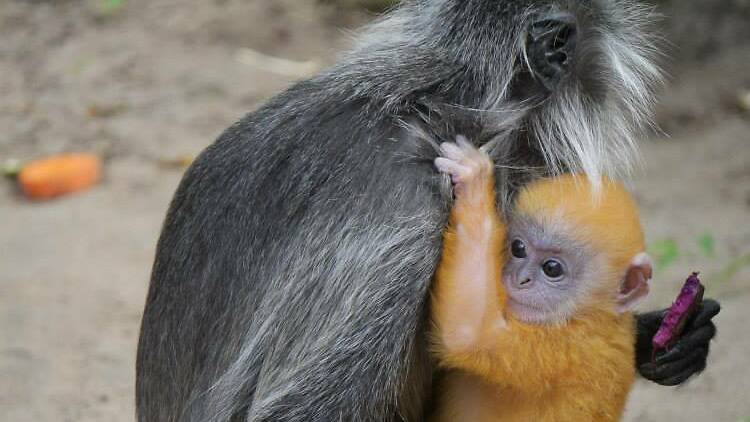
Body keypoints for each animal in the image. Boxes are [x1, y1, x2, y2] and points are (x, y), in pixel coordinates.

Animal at [432, 137, 656, 420]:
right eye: (518, 248)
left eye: (552, 268)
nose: (521, 279)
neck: (591, 317)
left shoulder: (569, 347)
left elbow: (468, 334)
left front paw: (475, 181)